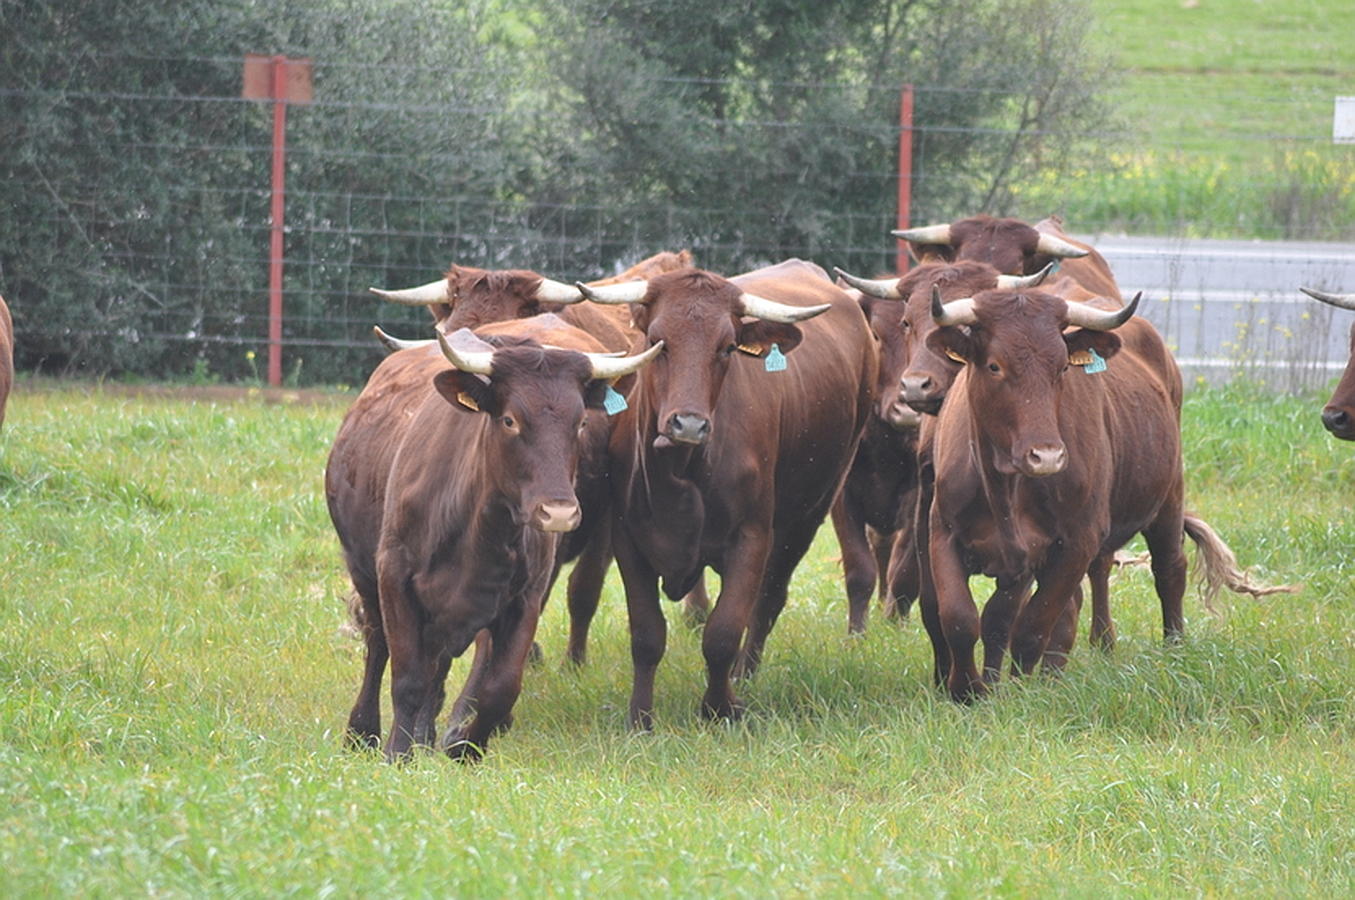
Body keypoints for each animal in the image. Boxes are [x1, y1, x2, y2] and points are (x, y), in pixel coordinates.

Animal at [325, 315, 658, 759]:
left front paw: (465, 746)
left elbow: (500, 687)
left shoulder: (525, 596)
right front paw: (398, 751)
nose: (558, 512)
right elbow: (407, 676)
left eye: (581, 423)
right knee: (378, 645)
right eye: (510, 420)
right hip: (363, 570)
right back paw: (363, 731)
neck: (479, 531)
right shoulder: (394, 578)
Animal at [574, 258, 878, 726]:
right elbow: (646, 634)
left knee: (769, 599)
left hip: (810, 513)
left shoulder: (751, 537)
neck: (681, 470)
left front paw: (720, 707)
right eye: (658, 342)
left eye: (728, 347)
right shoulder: (629, 540)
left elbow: (723, 630)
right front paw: (640, 717)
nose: (689, 424)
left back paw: (744, 674)